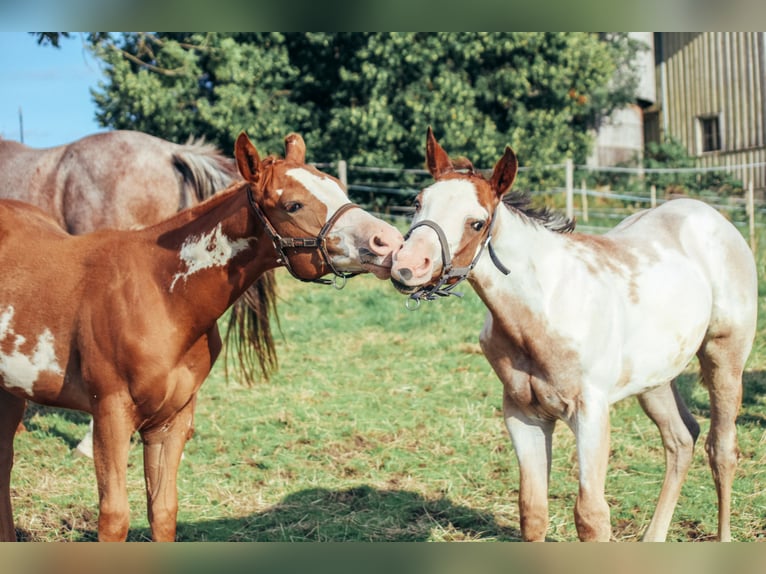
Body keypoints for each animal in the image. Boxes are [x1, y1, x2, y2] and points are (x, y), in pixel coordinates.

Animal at [0, 133, 404, 544]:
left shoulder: (171, 421)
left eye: (337, 187)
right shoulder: (110, 415)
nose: (389, 240)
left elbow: (163, 511)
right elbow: (114, 518)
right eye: (293, 204)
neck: (161, 293)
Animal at [392, 127, 760, 544]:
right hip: (655, 378)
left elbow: (591, 517)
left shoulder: (591, 413)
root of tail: (711, 216)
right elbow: (532, 512)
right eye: (417, 202)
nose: (407, 267)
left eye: (477, 222)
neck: (542, 308)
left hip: (724, 359)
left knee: (722, 449)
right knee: (682, 438)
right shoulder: (523, 414)